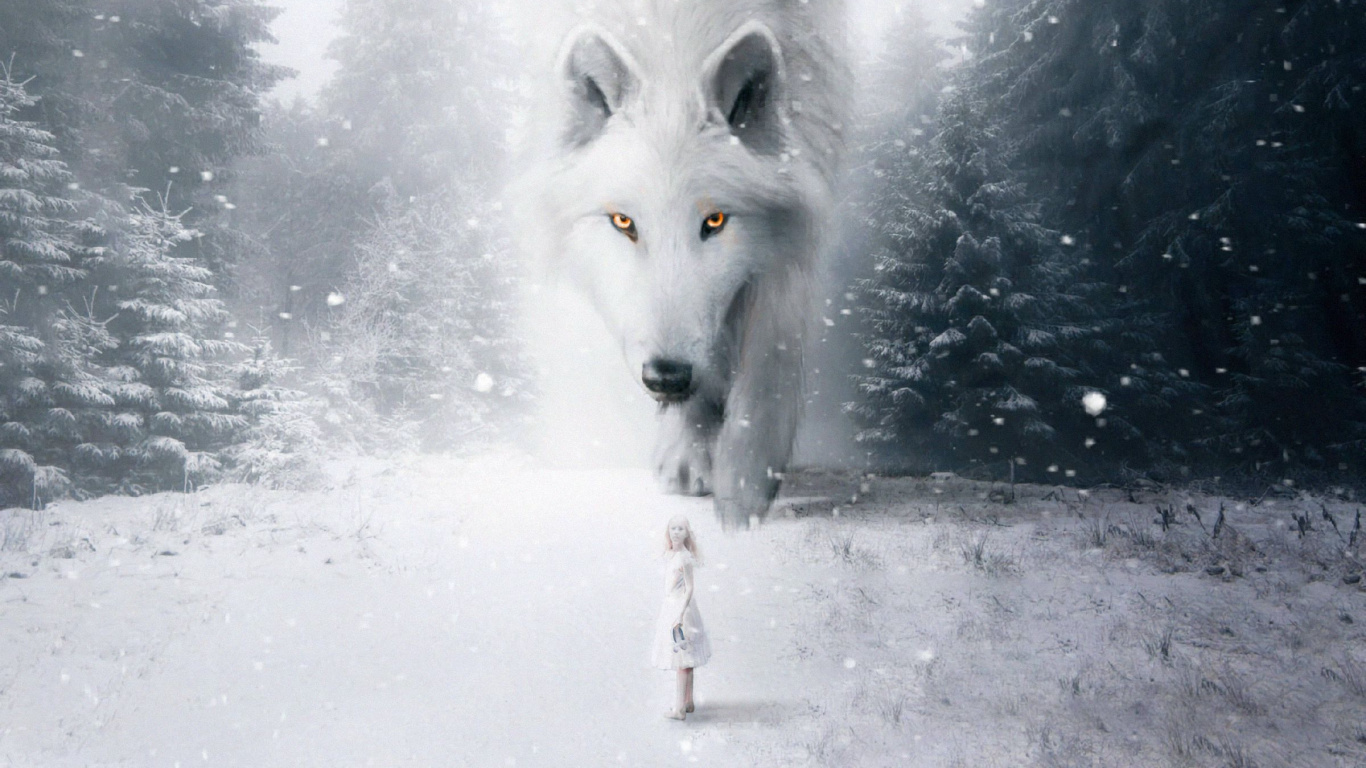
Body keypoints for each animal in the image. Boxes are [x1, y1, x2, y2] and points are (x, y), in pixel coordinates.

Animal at [513, 0, 848, 528]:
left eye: (714, 220)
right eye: (623, 221)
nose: (666, 377)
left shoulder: (793, 220)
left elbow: (771, 353)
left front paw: (744, 490)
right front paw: (691, 453)